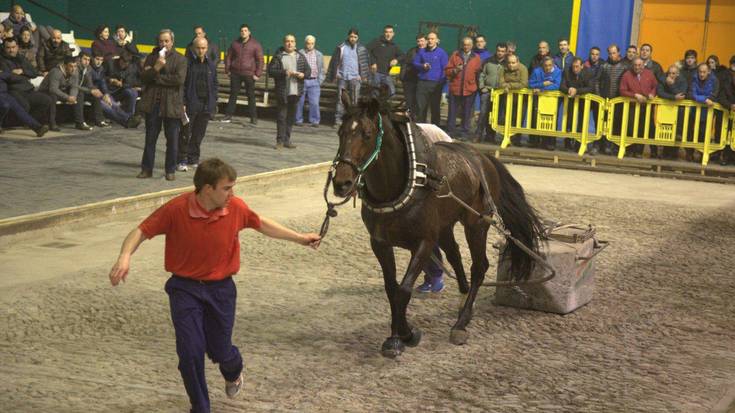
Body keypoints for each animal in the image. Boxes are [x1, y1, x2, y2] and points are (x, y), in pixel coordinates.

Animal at [330, 88, 544, 356]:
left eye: (367, 135)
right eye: (341, 132)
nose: (342, 183)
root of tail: (483, 158)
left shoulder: (424, 242)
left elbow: (403, 290)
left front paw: (404, 336)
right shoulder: (380, 243)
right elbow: (391, 289)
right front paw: (398, 335)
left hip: (476, 223)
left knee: (479, 266)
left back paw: (461, 322)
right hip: (445, 227)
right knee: (455, 255)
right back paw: (463, 301)